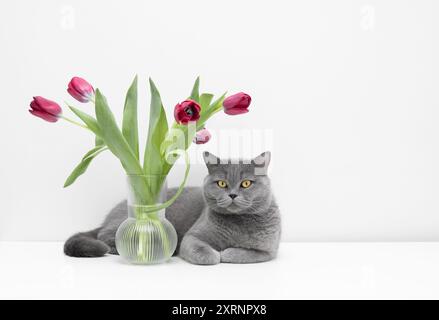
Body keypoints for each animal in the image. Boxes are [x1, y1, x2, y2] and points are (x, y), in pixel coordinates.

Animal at [63, 151, 280, 264]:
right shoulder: (192, 237)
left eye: (246, 183)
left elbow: (247, 254)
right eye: (221, 183)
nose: (232, 194)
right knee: (107, 236)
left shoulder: (269, 250)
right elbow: (202, 250)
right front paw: (215, 255)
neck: (238, 224)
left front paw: (227, 253)